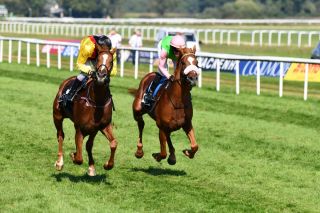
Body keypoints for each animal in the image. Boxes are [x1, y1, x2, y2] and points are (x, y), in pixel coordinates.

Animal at [52, 48, 117, 176]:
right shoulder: (79, 128)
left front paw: (107, 165)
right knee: (60, 135)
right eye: (98, 59)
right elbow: (79, 158)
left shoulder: (102, 126)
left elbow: (113, 143)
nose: (101, 76)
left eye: (111, 61)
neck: (96, 101)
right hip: (57, 116)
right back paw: (59, 162)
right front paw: (73, 155)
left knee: (88, 145)